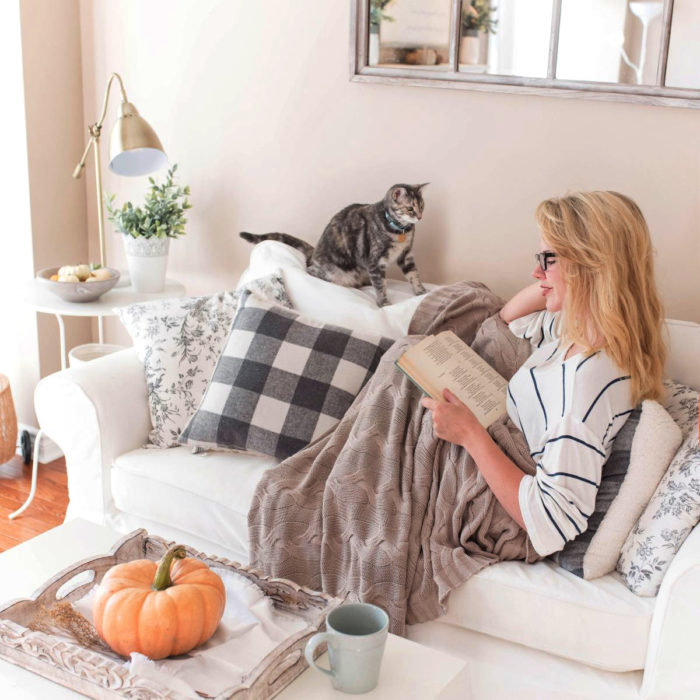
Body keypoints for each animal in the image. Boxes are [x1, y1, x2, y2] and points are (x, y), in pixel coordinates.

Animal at [239, 183, 426, 306]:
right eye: (410, 208)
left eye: (422, 205)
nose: (419, 217)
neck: (400, 231)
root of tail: (314, 253)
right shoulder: (375, 260)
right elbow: (380, 285)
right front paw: (384, 303)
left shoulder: (406, 254)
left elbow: (413, 274)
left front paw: (421, 292)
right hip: (333, 271)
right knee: (309, 272)